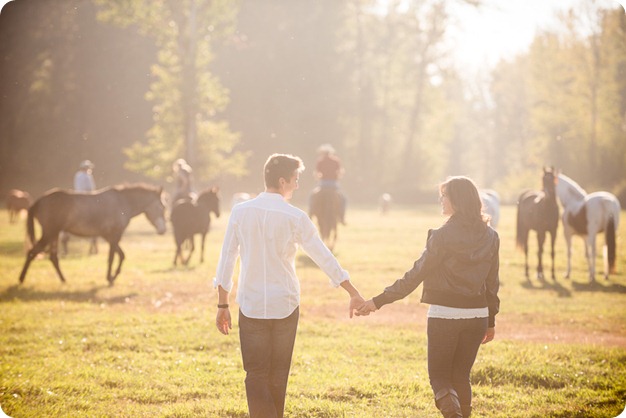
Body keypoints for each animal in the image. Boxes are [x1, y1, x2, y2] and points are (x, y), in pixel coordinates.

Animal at [19, 185, 166, 286]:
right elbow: (112, 257)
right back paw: (21, 279)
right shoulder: (114, 235)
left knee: (53, 257)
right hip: (49, 233)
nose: (163, 230)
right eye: (162, 207)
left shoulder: (109, 237)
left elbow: (120, 255)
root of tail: (39, 201)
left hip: (54, 234)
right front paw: (110, 278)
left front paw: (113, 276)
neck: (122, 202)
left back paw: (63, 279)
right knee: (32, 252)